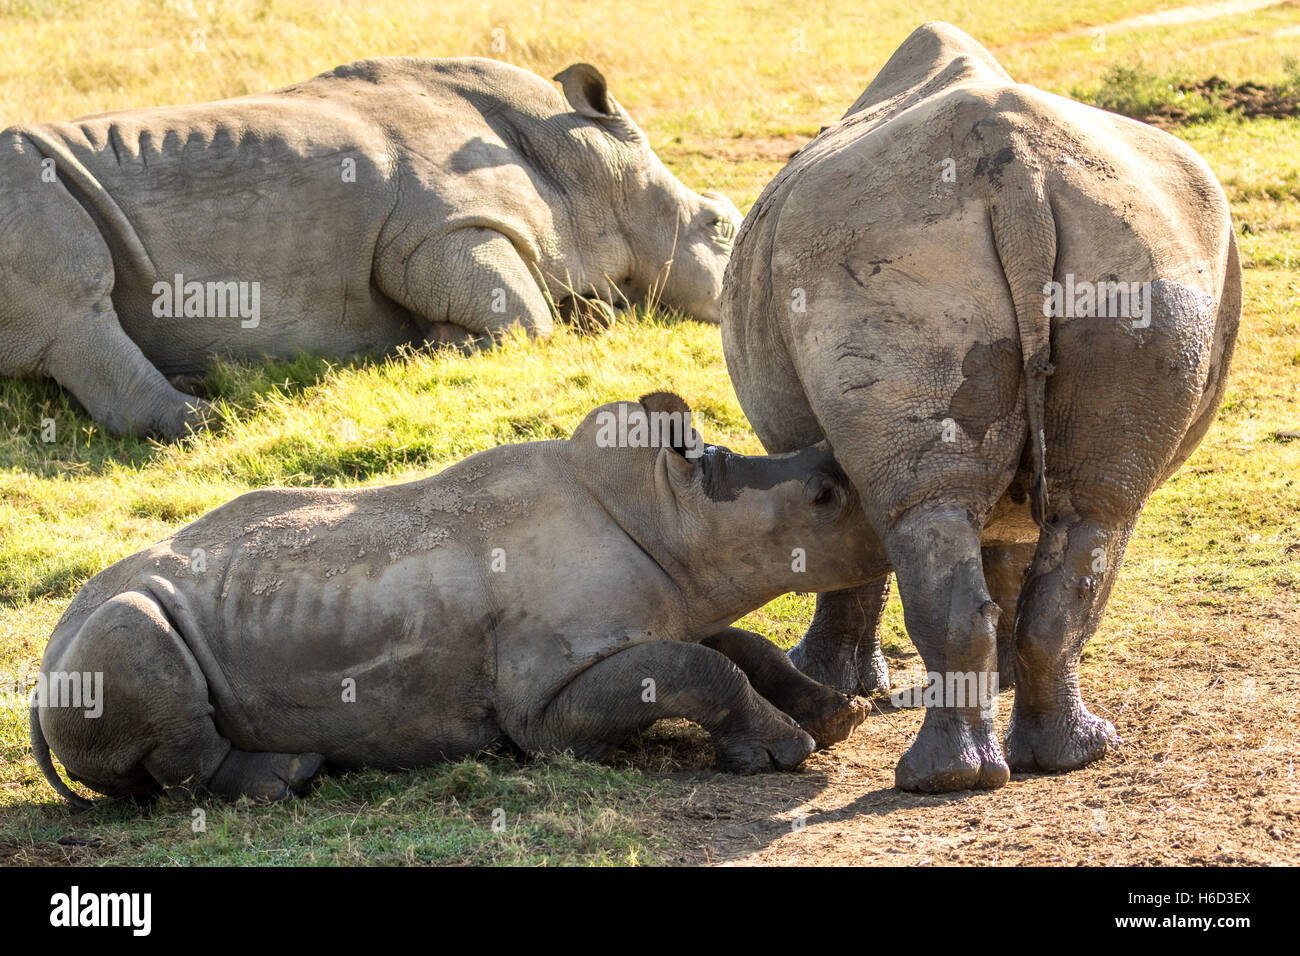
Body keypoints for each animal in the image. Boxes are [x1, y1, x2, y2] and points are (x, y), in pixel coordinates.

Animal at [0, 61, 743, 442]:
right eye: (718, 228)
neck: (589, 167)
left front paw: (595, 317)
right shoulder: (441, 231)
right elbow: (526, 320)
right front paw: (436, 346)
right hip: (24, 196)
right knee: (79, 308)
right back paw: (215, 415)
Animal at [32, 390, 883, 806]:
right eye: (824, 497)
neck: (669, 513)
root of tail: (41, 663)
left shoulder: (670, 608)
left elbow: (731, 647)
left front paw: (836, 716)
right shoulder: (545, 708)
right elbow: (694, 667)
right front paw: (785, 754)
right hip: (105, 631)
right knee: (139, 638)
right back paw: (288, 781)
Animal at [722, 24, 1237, 790]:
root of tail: (1018, 174)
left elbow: (855, 558)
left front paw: (836, 683)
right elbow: (1008, 549)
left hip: (880, 254)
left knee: (930, 512)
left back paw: (941, 779)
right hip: (1140, 263)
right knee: (1096, 511)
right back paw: (1061, 757)